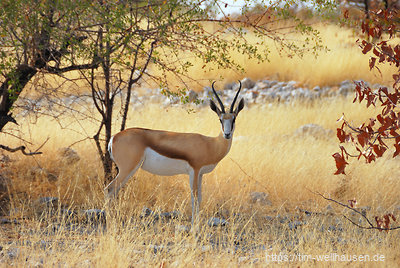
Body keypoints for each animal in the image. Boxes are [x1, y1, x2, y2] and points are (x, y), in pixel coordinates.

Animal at [105, 80, 244, 225]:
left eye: (234, 119)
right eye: (220, 119)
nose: (227, 134)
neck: (210, 144)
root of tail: (114, 137)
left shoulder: (200, 174)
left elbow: (199, 198)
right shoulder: (194, 171)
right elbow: (194, 198)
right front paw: (195, 227)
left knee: (114, 191)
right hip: (127, 169)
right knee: (109, 189)